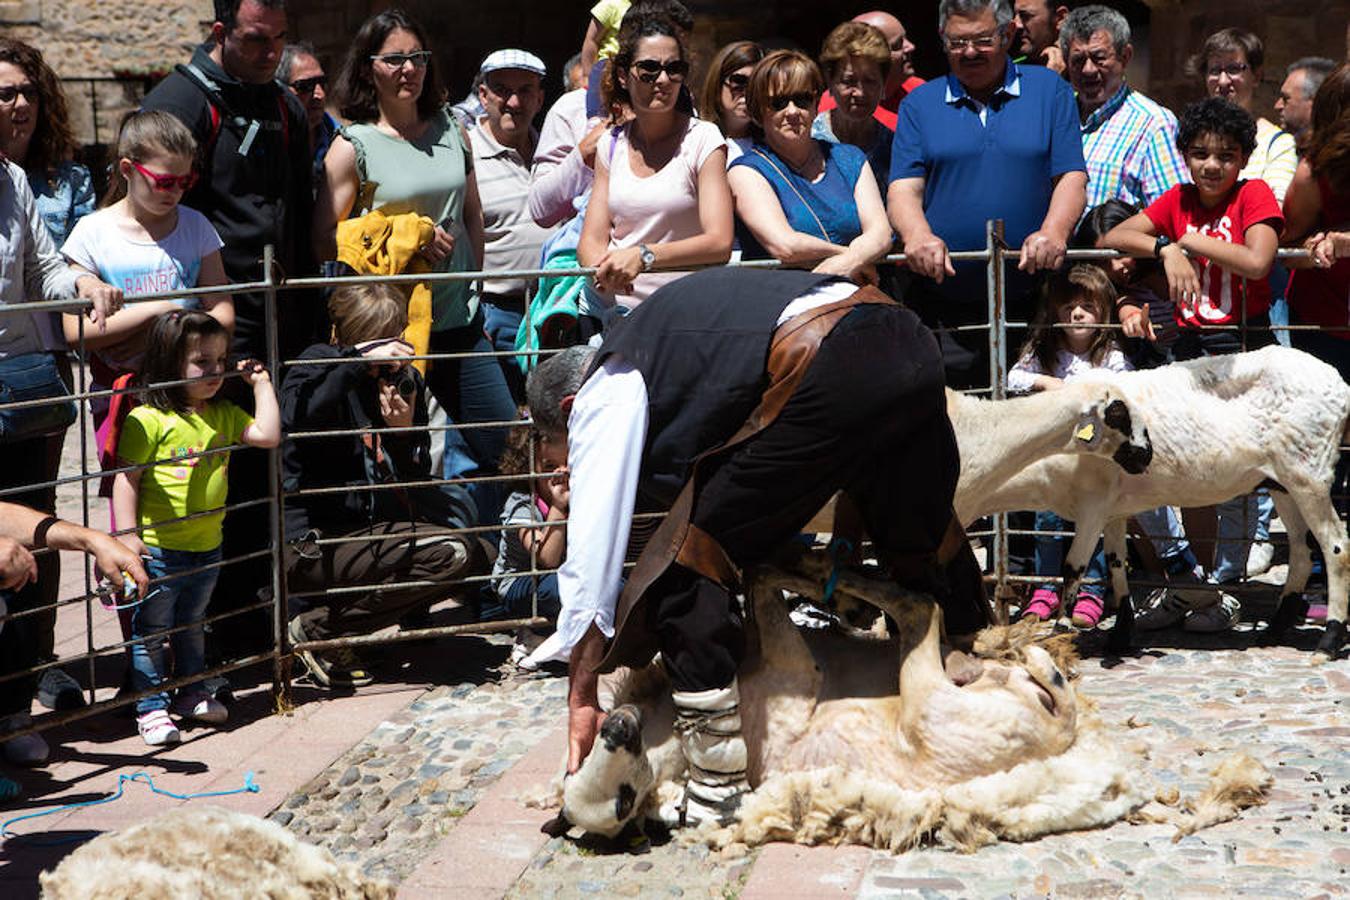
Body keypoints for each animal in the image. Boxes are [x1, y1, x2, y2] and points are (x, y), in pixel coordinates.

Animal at [966, 348, 1350, 658]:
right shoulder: (1112, 510)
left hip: (1310, 473)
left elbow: (1073, 568)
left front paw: (1061, 635)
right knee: (1302, 552)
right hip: (1283, 483)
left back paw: (1329, 640)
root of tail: (1338, 383)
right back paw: (1274, 630)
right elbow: (1116, 565)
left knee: (1336, 547)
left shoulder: (1091, 508)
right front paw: (1120, 637)